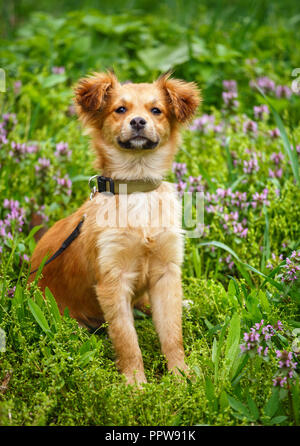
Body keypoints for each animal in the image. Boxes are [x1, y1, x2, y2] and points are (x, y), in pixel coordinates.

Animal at [29, 71, 200, 386]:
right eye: (120, 109)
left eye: (156, 110)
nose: (138, 122)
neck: (137, 189)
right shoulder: (112, 280)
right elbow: (126, 339)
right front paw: (136, 386)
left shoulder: (166, 273)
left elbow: (173, 334)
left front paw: (181, 377)